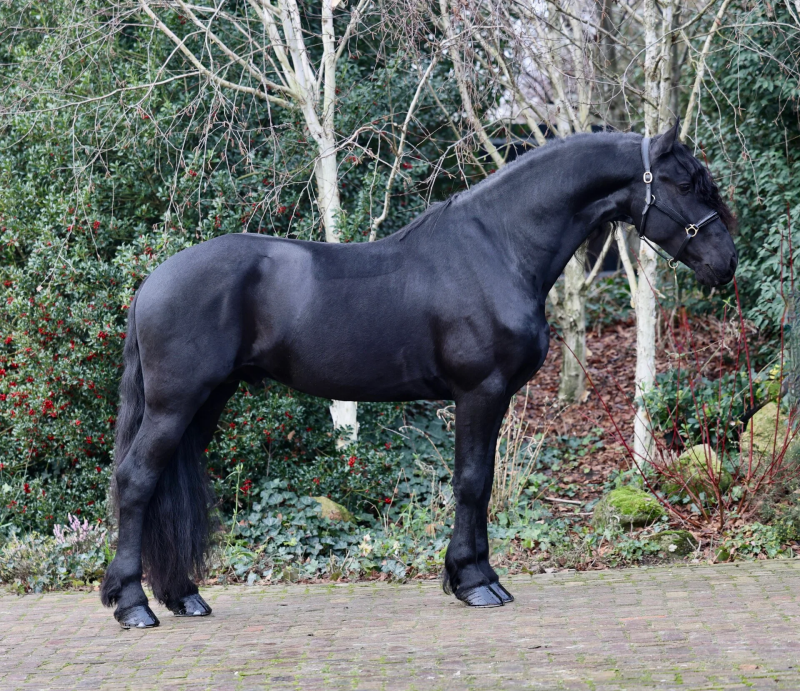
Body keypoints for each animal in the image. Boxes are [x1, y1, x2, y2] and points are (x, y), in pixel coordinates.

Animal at [100, 120, 737, 627]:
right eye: (685, 183)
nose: (726, 263)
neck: (498, 249)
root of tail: (151, 282)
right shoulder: (479, 392)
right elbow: (472, 482)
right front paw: (475, 583)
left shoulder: (491, 398)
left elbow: (481, 484)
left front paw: (477, 575)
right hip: (176, 403)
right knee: (136, 481)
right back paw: (134, 605)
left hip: (207, 401)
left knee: (166, 484)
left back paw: (183, 596)